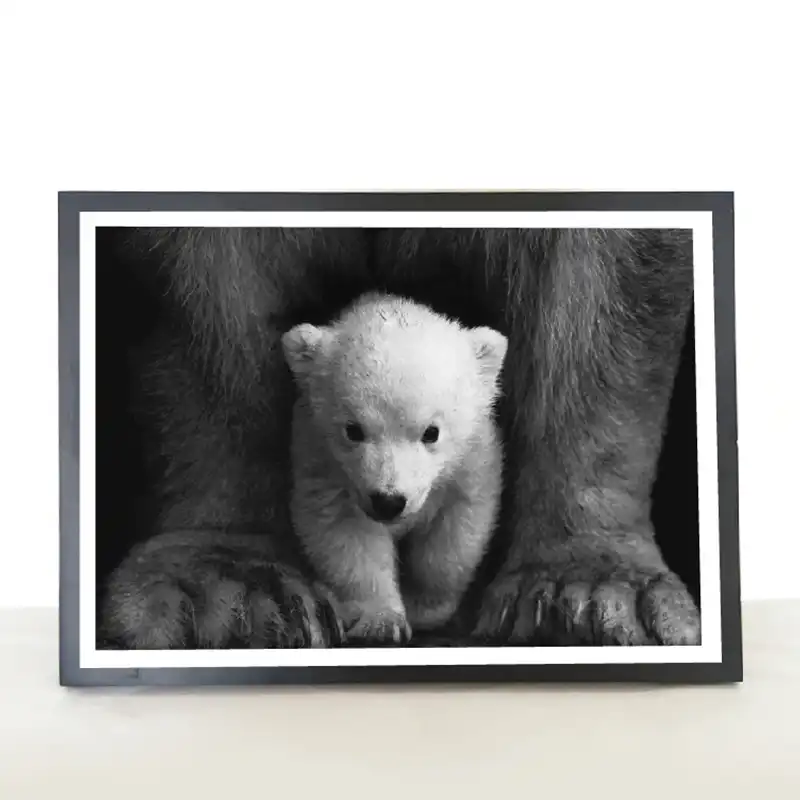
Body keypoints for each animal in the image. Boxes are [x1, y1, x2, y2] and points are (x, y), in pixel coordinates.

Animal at [281, 292, 508, 645]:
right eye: (353, 430)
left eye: (432, 432)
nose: (388, 501)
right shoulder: (322, 464)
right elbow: (347, 536)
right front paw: (382, 621)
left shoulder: (471, 462)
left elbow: (455, 535)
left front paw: (424, 607)